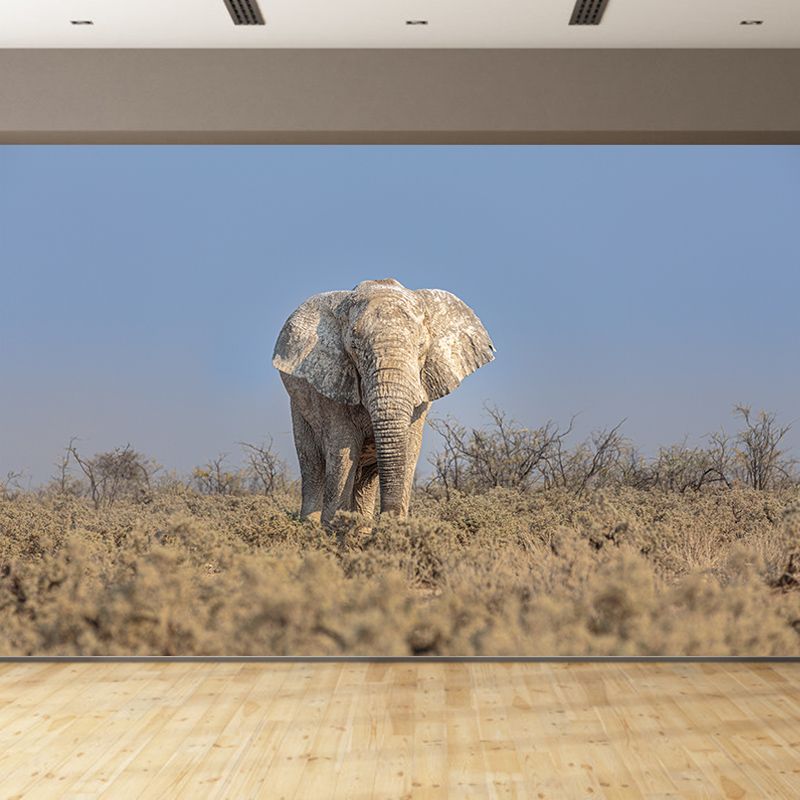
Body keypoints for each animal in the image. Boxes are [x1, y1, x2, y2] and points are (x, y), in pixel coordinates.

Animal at [272, 278, 495, 526]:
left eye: (421, 346)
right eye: (354, 348)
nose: (389, 520)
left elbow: (410, 449)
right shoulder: (332, 385)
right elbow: (342, 451)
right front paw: (333, 529)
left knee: (365, 479)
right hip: (299, 410)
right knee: (313, 466)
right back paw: (310, 525)